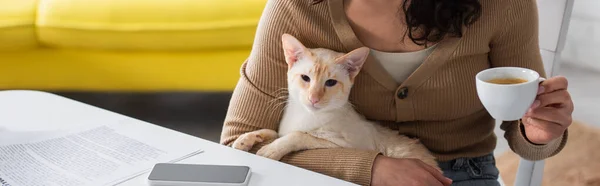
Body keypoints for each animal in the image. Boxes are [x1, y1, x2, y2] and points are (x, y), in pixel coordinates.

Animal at [232, 33, 438, 171]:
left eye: (330, 83)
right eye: (305, 78)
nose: (313, 98)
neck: (305, 115)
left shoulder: (347, 146)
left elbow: (299, 135)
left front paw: (271, 149)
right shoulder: (283, 129)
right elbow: (274, 131)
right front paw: (247, 138)